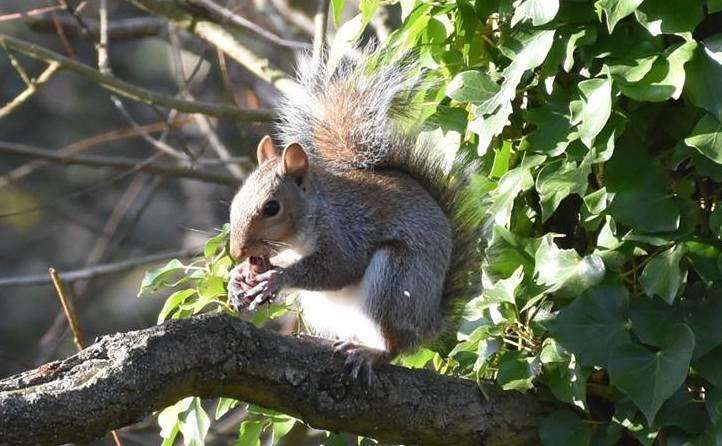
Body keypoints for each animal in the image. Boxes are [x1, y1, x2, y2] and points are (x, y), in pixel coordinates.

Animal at [228, 50, 480, 382]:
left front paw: (276, 279)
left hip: (396, 282)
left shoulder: (346, 229)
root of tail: (429, 323)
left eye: (271, 207)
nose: (236, 251)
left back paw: (372, 352)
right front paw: (239, 277)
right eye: (236, 198)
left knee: (394, 345)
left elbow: (339, 268)